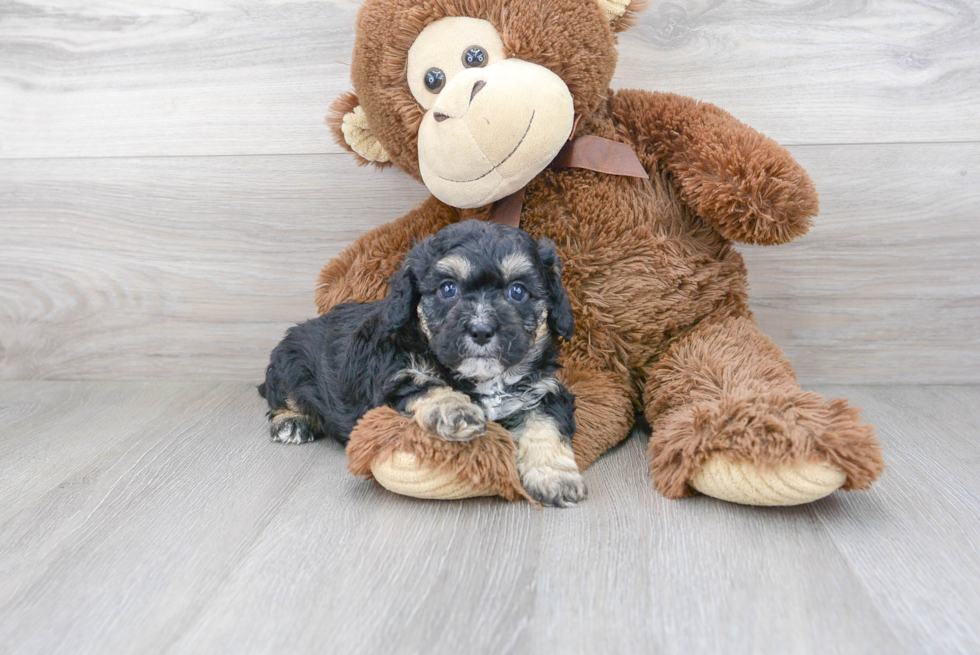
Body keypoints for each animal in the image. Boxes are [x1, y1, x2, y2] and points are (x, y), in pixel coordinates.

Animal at [256, 220, 584, 508]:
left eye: (518, 291)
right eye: (448, 289)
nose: (481, 330)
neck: (482, 380)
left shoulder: (545, 390)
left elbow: (545, 425)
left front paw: (556, 476)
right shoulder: (397, 378)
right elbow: (431, 389)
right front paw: (458, 411)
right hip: (290, 364)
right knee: (280, 397)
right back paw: (292, 421)